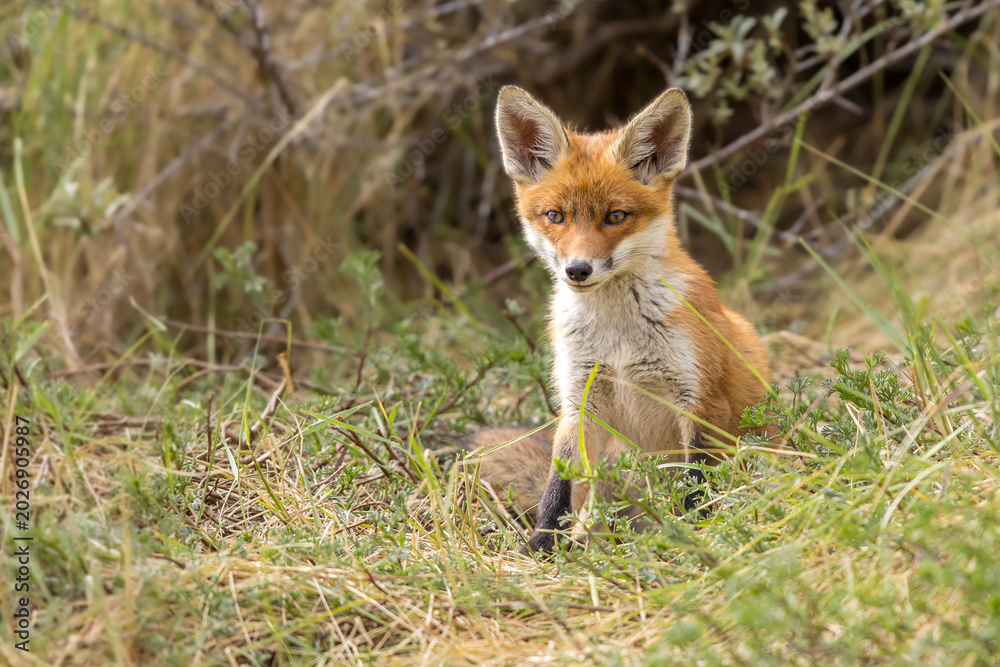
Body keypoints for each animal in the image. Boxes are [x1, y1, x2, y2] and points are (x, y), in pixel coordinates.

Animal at [462, 86, 771, 555]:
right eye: (555, 216)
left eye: (615, 216)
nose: (578, 270)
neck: (618, 338)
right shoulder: (579, 400)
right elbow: (558, 486)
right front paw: (542, 546)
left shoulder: (700, 399)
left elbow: (698, 485)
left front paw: (696, 535)